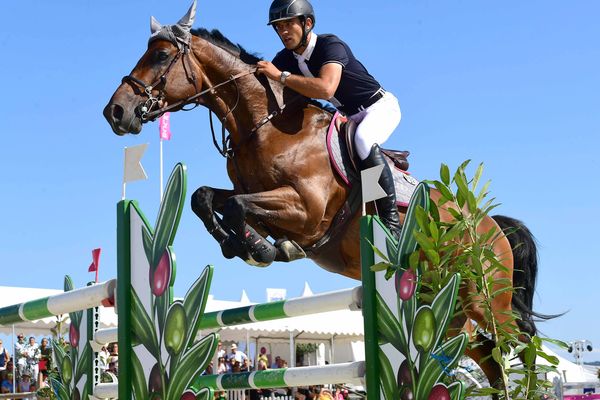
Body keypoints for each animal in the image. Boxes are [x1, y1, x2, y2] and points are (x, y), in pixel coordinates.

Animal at [103, 2, 548, 390]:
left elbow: (235, 205)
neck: (267, 124)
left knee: (521, 343)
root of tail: (489, 224)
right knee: (486, 354)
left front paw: (258, 249)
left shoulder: (307, 210)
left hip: (485, 299)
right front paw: (251, 244)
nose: (116, 112)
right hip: (446, 306)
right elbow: (206, 198)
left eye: (161, 56)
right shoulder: (258, 195)